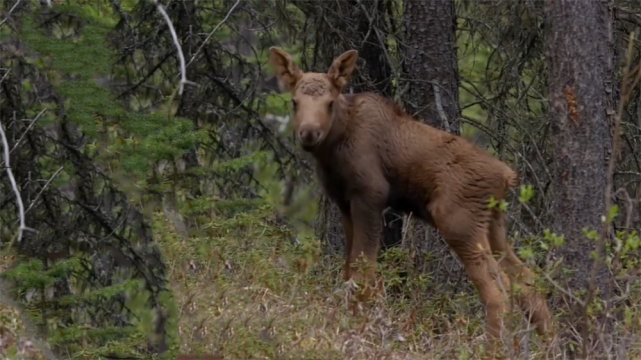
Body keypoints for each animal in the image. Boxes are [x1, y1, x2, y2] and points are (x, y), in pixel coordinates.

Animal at [268, 45, 552, 354]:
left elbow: (363, 275)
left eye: (329, 102)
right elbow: (349, 270)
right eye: (294, 101)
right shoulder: (344, 203)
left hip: (460, 223)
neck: (333, 150)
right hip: (493, 224)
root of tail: (506, 176)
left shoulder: (370, 195)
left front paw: (358, 333)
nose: (309, 133)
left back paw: (494, 351)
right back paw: (556, 345)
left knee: (498, 290)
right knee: (527, 282)